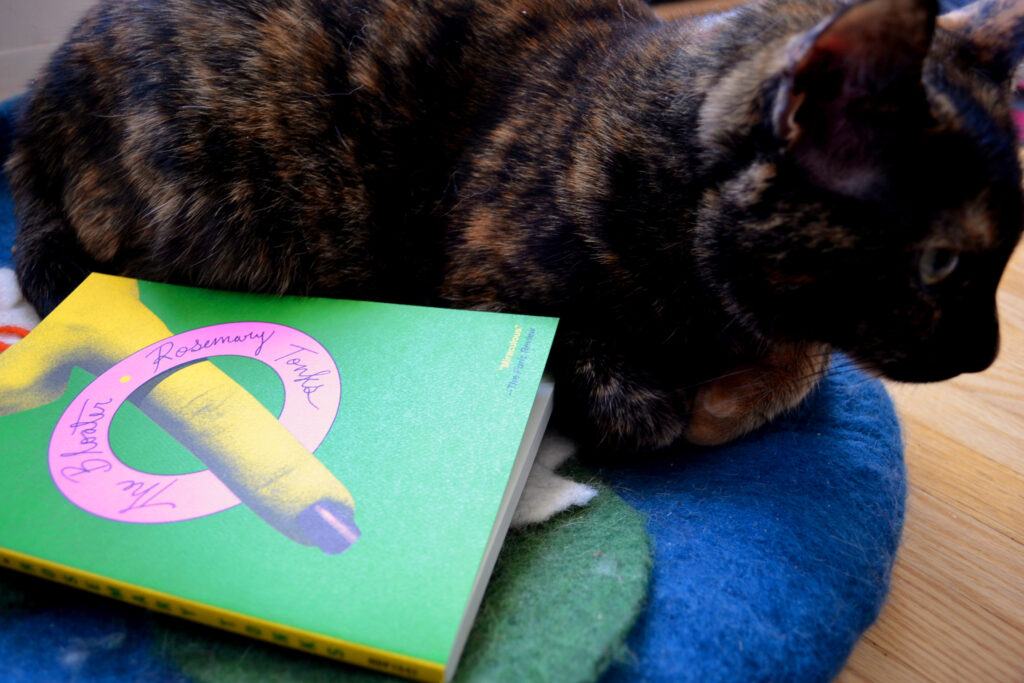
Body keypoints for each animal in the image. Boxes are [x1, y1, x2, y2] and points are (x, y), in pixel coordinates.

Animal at [8, 0, 1024, 450]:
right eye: (940, 263)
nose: (985, 353)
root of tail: (45, 97)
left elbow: (804, 362)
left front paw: (729, 394)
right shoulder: (483, 284)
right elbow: (613, 377)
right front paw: (668, 404)